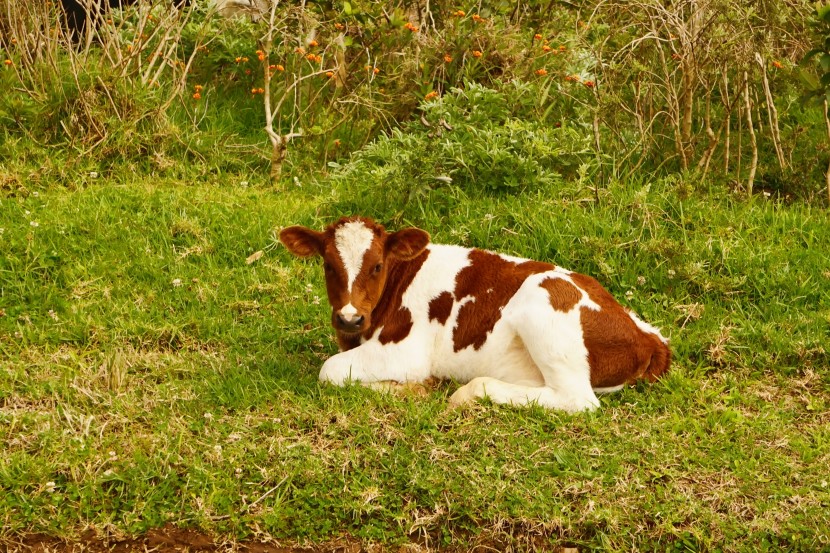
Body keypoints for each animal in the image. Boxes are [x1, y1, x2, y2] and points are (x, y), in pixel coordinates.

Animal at [282, 216, 672, 410]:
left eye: (377, 265)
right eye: (328, 265)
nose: (349, 318)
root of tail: (648, 336)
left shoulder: (405, 351)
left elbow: (329, 370)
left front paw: (414, 388)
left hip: (542, 306)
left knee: (578, 400)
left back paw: (466, 393)